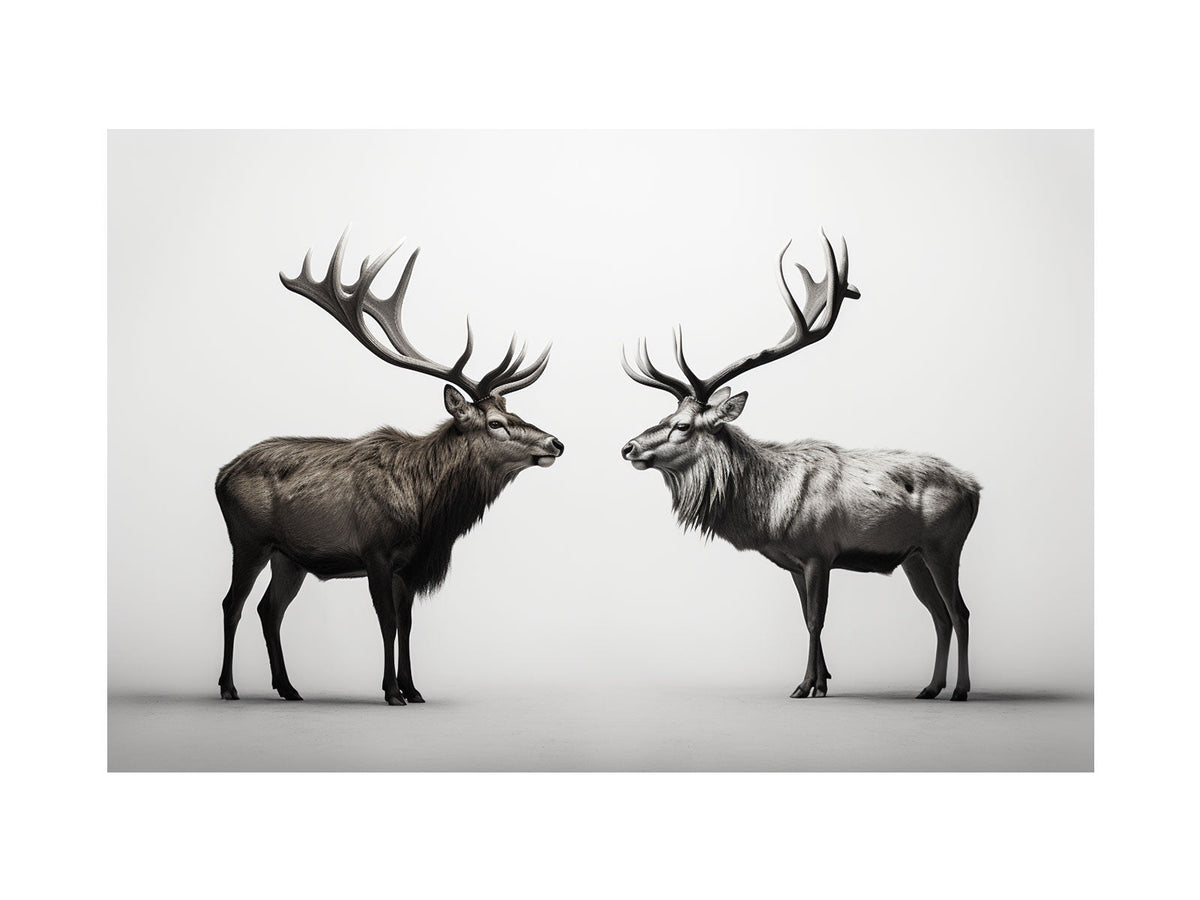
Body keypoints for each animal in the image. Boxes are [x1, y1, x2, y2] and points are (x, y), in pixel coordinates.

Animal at [215, 230, 563, 705]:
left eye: (514, 413)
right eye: (496, 422)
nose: (555, 442)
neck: (427, 513)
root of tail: (219, 475)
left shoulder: (410, 566)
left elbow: (408, 623)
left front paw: (414, 689)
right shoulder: (376, 550)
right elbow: (386, 620)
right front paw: (391, 691)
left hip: (289, 557)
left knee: (269, 609)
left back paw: (288, 687)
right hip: (248, 540)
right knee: (232, 603)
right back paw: (228, 686)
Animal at [620, 232, 980, 700]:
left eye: (681, 425)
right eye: (663, 416)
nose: (628, 447)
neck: (769, 509)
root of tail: (976, 490)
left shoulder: (818, 551)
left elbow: (815, 620)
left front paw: (804, 685)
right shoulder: (793, 561)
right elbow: (805, 618)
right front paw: (821, 682)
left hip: (944, 546)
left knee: (960, 611)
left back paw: (960, 689)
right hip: (913, 557)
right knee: (938, 614)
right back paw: (930, 687)